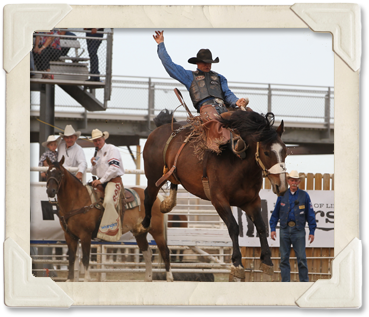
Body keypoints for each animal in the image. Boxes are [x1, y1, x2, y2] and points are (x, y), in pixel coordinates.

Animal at [44, 156, 172, 282]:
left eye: (60, 173)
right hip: (140, 233)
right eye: (47, 172)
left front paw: (86, 279)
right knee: (147, 253)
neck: (78, 200)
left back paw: (169, 278)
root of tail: (158, 197)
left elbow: (85, 258)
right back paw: (148, 279)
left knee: (165, 252)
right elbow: (71, 258)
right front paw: (69, 280)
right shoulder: (69, 236)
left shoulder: (85, 235)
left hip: (157, 231)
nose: (50, 191)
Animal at [138, 110, 288, 280]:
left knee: (172, 180)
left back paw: (168, 203)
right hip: (153, 177)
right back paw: (144, 224)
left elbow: (261, 226)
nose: (282, 185)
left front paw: (267, 261)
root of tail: (160, 129)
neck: (238, 163)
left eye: (285, 151)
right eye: (267, 152)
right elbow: (234, 227)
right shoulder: (219, 200)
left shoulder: (251, 201)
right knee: (148, 196)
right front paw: (237, 263)